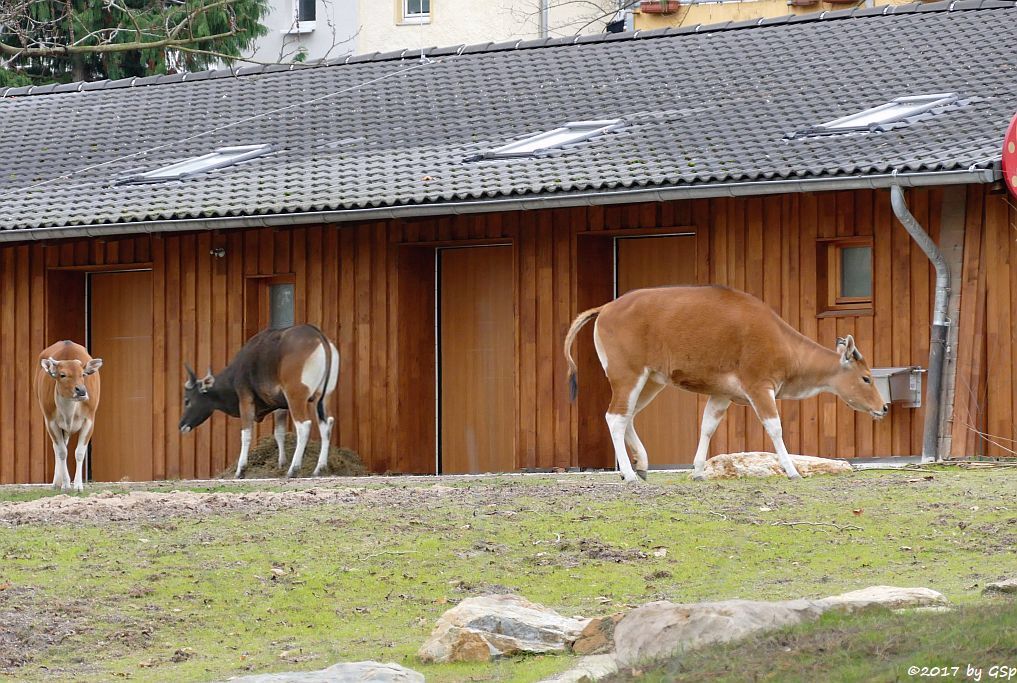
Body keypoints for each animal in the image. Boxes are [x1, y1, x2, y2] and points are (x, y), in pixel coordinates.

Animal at [565, 284, 890, 483]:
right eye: (866, 377)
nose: (884, 407)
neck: (781, 342)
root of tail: (605, 308)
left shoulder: (721, 395)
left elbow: (707, 427)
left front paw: (697, 471)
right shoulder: (759, 386)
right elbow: (775, 428)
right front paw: (792, 471)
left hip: (651, 381)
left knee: (628, 416)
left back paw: (641, 466)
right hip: (628, 375)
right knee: (615, 417)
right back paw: (630, 475)